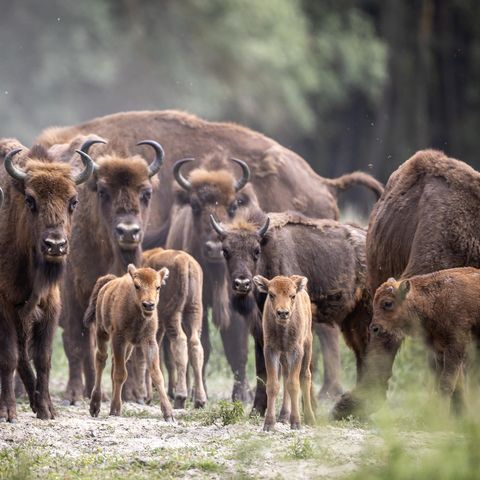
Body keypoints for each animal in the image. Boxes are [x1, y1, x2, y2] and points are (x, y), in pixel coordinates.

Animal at [0, 137, 94, 418]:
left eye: (73, 201)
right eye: (30, 200)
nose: (55, 245)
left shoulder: (50, 305)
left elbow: (43, 357)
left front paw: (45, 408)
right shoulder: (5, 306)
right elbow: (9, 357)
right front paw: (8, 411)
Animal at [141, 248, 204, 408]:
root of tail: (185, 261)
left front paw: (147, 396)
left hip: (172, 315)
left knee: (180, 341)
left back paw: (180, 397)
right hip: (194, 310)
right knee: (195, 345)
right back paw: (200, 400)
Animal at [210, 212, 372, 414]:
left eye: (256, 251)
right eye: (226, 251)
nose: (242, 283)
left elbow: (300, 368)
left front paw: (304, 411)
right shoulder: (261, 331)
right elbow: (262, 369)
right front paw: (257, 410)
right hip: (352, 319)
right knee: (361, 353)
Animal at [253, 274, 316, 432]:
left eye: (292, 296)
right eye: (271, 294)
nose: (283, 313)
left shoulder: (296, 350)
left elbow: (294, 384)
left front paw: (296, 423)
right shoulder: (271, 350)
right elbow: (273, 385)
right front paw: (269, 424)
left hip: (307, 345)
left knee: (305, 377)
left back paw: (310, 418)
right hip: (284, 356)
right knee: (286, 376)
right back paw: (283, 416)